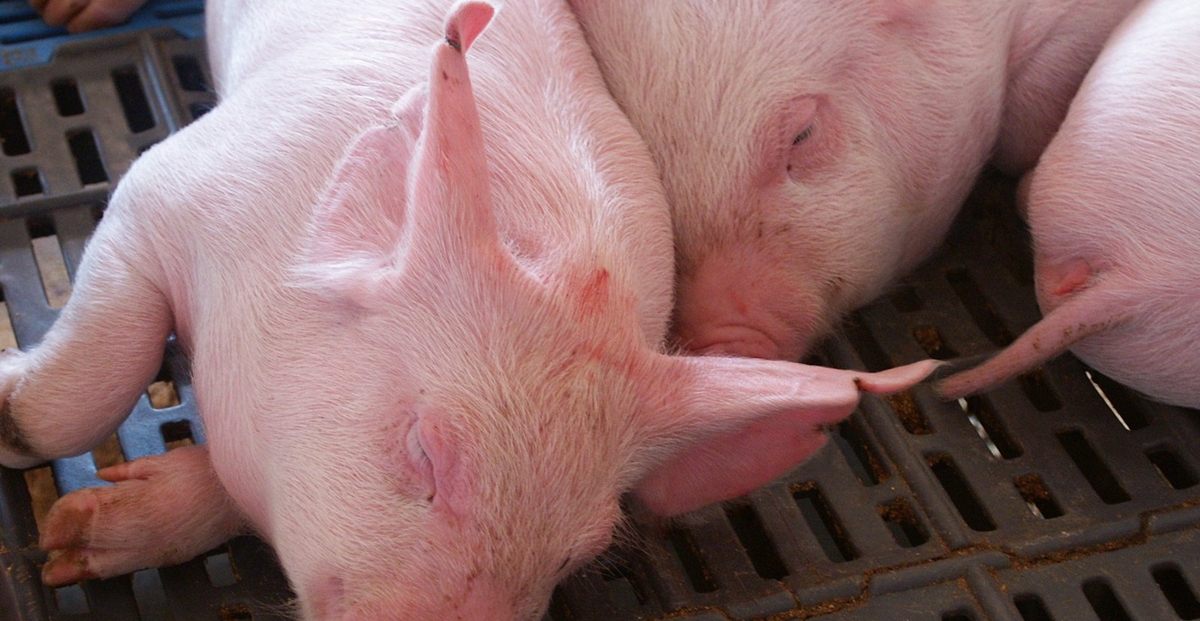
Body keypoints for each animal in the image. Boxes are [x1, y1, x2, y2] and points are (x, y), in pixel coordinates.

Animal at [1, 0, 937, 618]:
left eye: (579, 549)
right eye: (424, 448)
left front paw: (79, 541)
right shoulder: (167, 187)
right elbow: (80, 390)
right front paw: (16, 426)